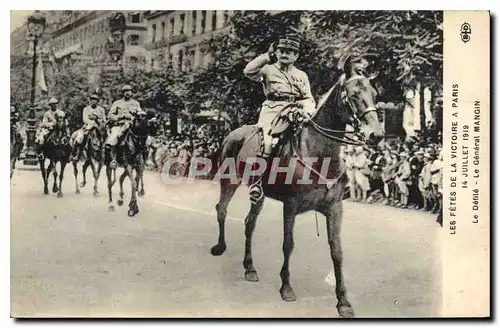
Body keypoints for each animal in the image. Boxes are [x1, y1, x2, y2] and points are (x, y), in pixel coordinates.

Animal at [210, 57, 382, 320]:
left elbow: (337, 251)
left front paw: (343, 302)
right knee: (221, 209)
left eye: (373, 93)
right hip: (230, 179)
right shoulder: (290, 206)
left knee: (249, 223)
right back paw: (220, 247)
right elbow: (288, 244)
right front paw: (286, 287)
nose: (377, 134)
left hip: (258, 194)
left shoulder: (335, 208)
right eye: (353, 94)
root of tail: (233, 132)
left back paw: (250, 267)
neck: (319, 152)